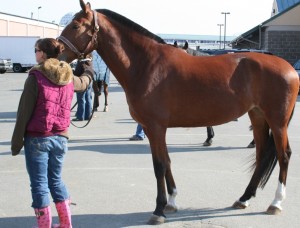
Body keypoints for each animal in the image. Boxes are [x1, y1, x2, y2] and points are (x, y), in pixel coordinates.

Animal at [57, 0, 298, 224]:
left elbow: (159, 166)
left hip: (277, 121)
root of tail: (289, 68)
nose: (56, 52)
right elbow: (167, 161)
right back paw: (244, 198)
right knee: (261, 155)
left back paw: (275, 202)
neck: (146, 65)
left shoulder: (155, 127)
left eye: (76, 25)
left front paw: (159, 210)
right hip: (257, 116)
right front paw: (171, 202)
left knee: (283, 155)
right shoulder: (153, 128)